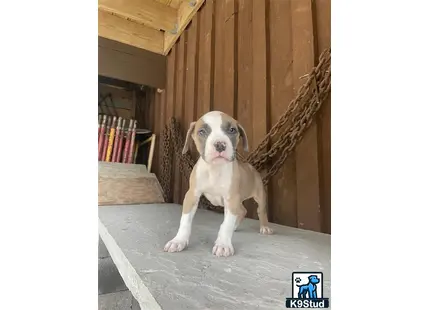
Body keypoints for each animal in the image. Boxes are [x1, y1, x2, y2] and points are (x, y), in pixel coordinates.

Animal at [163, 109, 274, 256]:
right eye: (202, 131)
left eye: (232, 130)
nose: (220, 144)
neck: (214, 169)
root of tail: (250, 167)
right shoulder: (192, 195)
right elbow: (185, 221)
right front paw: (178, 241)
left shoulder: (231, 199)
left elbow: (226, 225)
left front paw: (223, 244)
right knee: (242, 210)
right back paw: (235, 226)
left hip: (259, 195)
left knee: (260, 211)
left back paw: (265, 227)